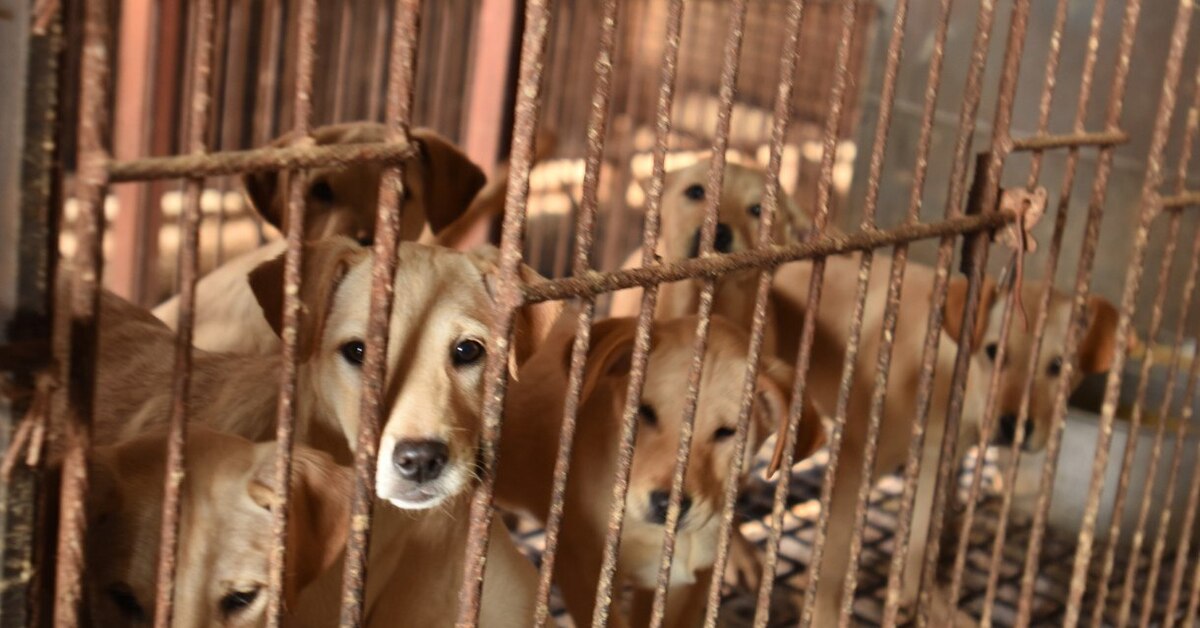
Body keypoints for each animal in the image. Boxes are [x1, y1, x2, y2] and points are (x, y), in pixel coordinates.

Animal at [763, 255, 1118, 624]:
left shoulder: (935, 466)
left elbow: (920, 546)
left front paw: (925, 604)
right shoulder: (852, 465)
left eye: (1059, 365)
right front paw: (826, 617)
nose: (1014, 424)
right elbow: (833, 560)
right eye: (994, 352)